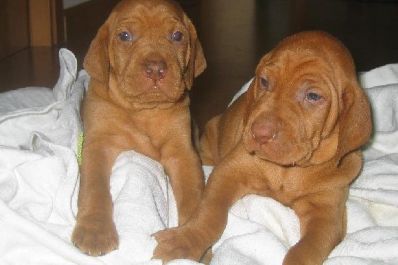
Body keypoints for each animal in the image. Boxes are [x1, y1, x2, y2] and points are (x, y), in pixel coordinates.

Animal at [71, 0, 207, 256]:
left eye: (177, 36)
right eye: (125, 36)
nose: (155, 68)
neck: (143, 110)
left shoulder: (182, 153)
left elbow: (194, 196)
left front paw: (188, 238)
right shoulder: (97, 145)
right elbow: (94, 188)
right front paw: (95, 231)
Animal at [153, 31, 374, 264]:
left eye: (313, 96)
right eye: (265, 81)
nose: (260, 133)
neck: (289, 170)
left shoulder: (327, 213)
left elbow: (307, 249)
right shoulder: (228, 172)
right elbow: (209, 213)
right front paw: (185, 241)